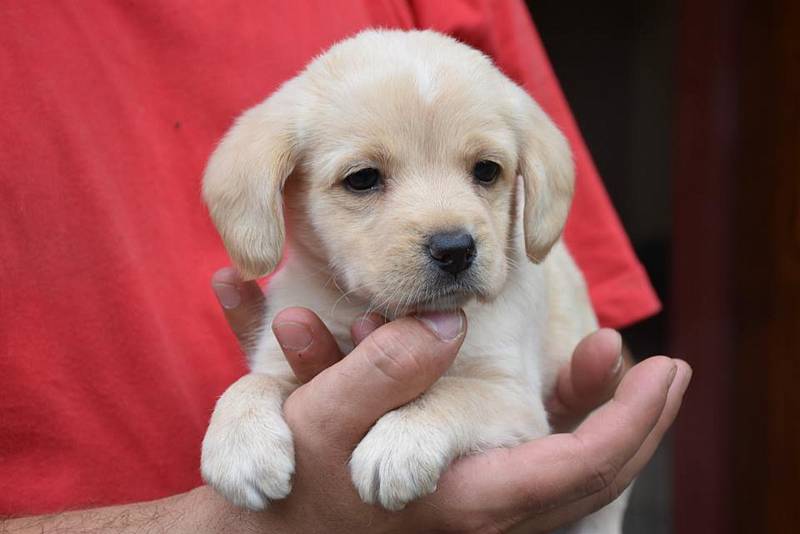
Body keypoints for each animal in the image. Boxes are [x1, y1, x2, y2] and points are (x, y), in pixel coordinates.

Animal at [198, 30, 624, 534]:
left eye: (487, 170)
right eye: (363, 178)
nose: (455, 249)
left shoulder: (512, 393)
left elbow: (451, 392)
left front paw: (399, 443)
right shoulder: (284, 355)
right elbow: (250, 384)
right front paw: (239, 446)